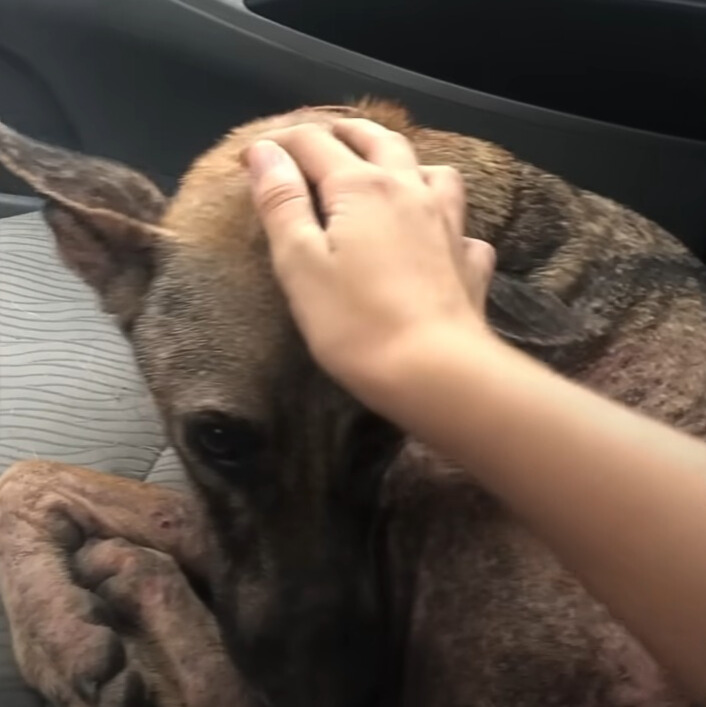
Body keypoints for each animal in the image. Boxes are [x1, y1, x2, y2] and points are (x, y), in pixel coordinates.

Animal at [1, 101, 704, 707]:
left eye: (379, 436)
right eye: (217, 439)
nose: (332, 690)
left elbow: (34, 477)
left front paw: (67, 620)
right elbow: (46, 480)